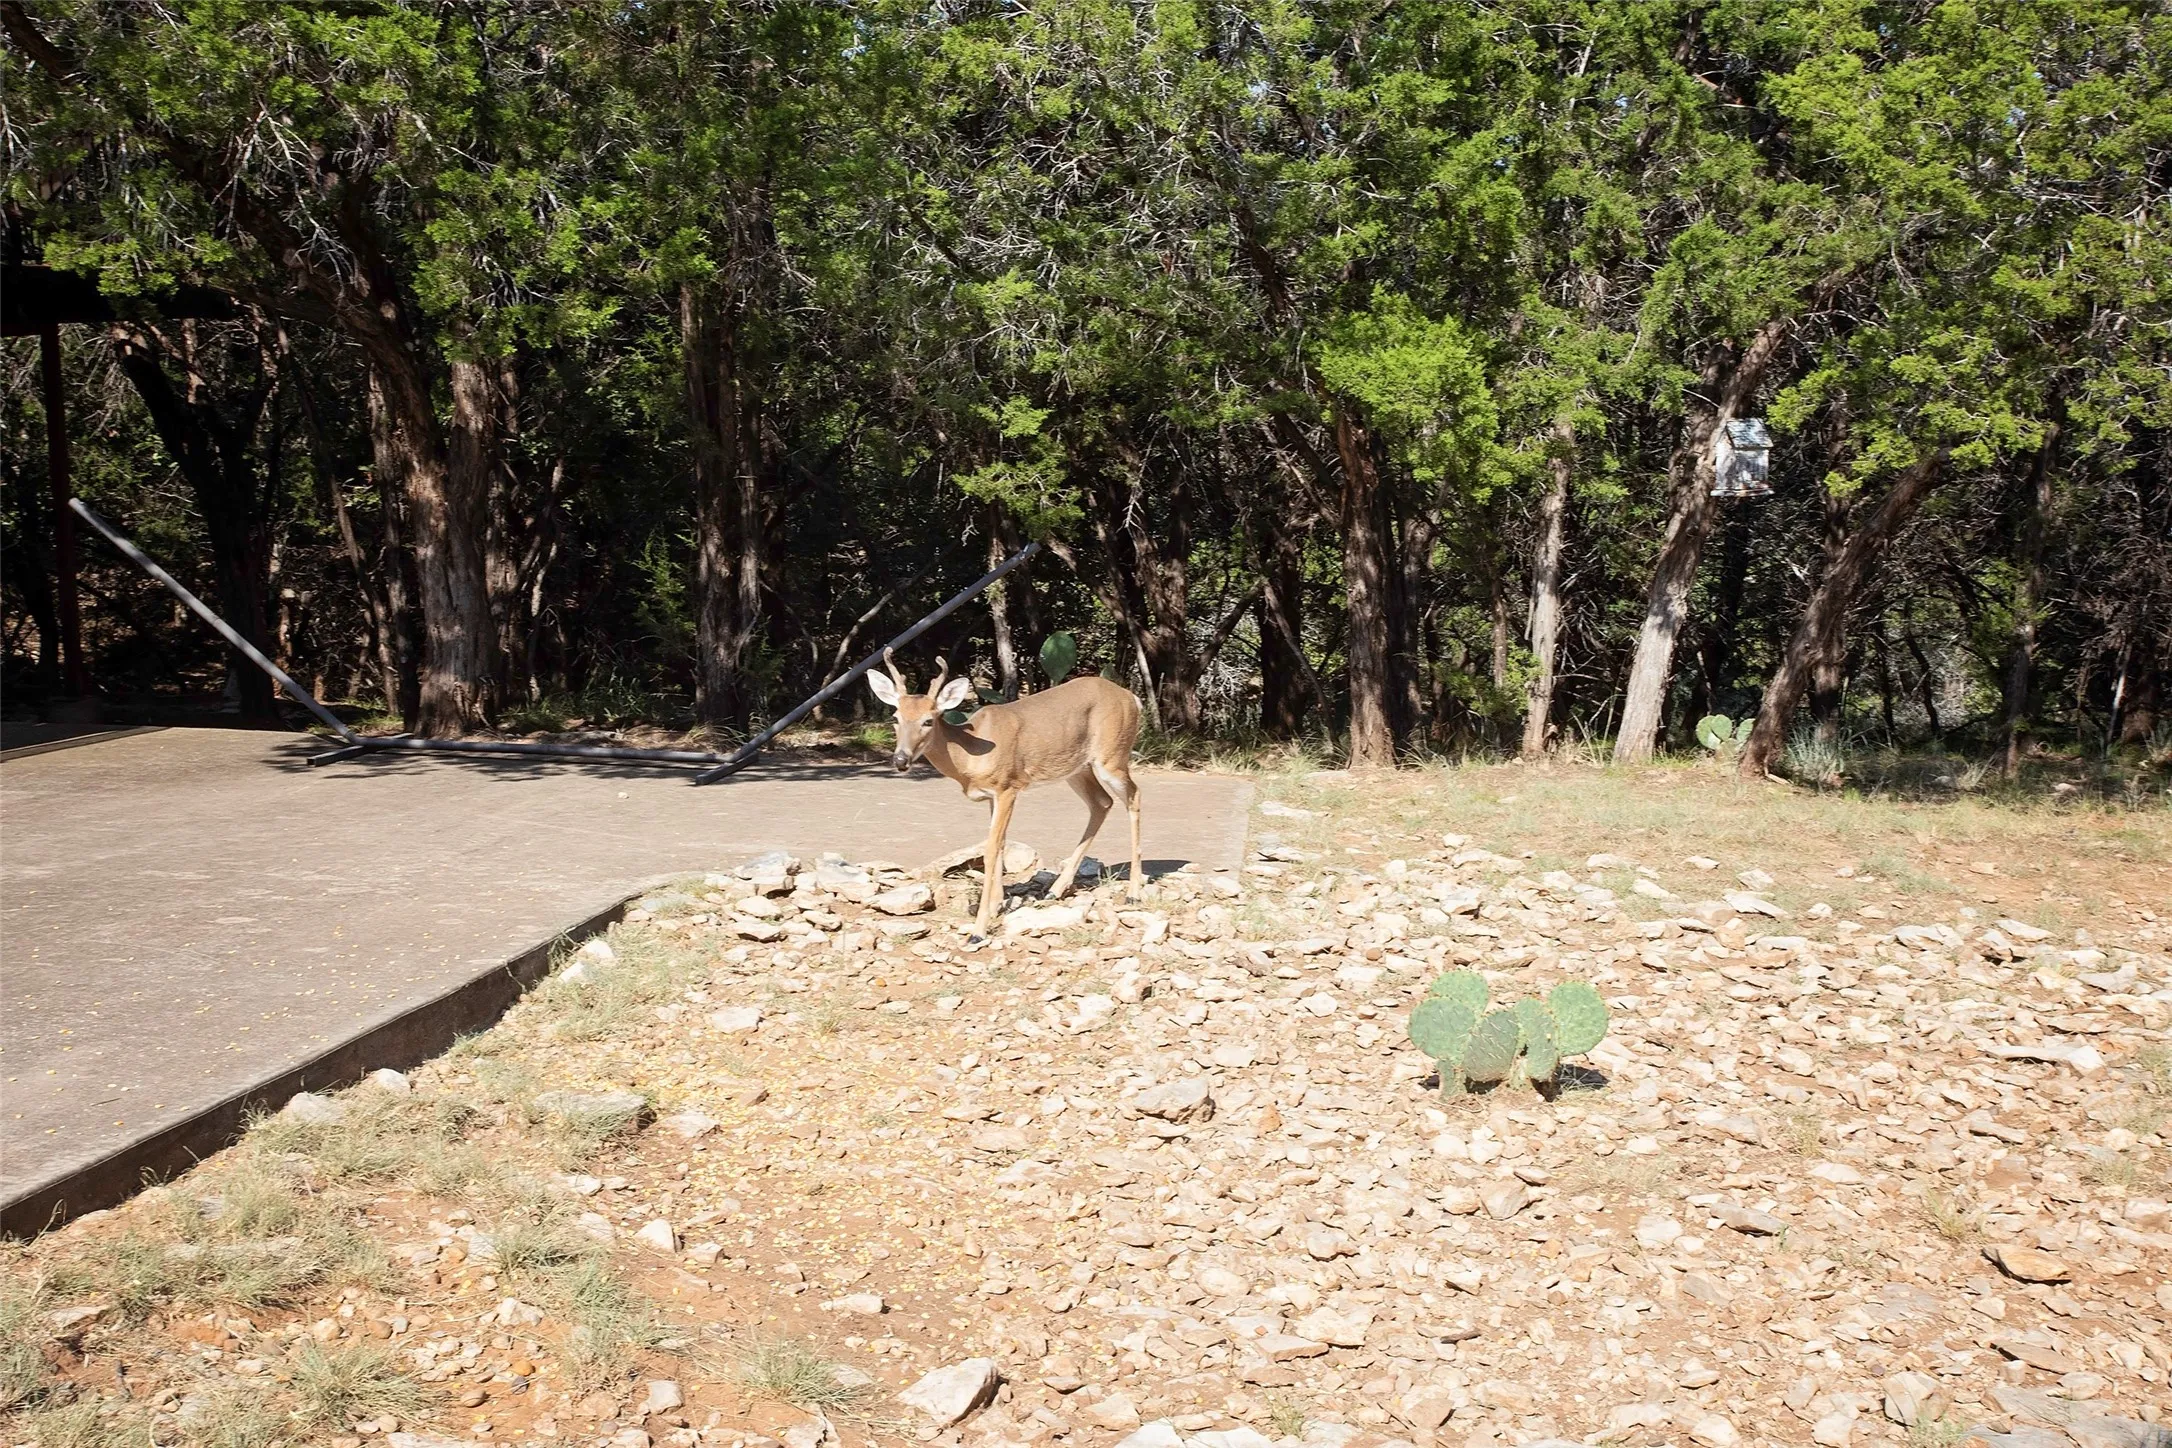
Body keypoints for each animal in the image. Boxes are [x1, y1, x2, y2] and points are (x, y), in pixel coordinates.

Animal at [867, 649, 1142, 939]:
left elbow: (990, 850)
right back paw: (1055, 890)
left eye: (928, 720)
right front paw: (996, 905)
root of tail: (1132, 698)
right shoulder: (992, 795)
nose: (901, 760)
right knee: (1102, 802)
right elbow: (999, 846)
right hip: (1076, 768)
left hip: (1112, 756)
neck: (970, 754)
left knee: (1133, 796)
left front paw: (979, 930)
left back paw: (1133, 893)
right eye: (895, 717)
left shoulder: (1008, 787)